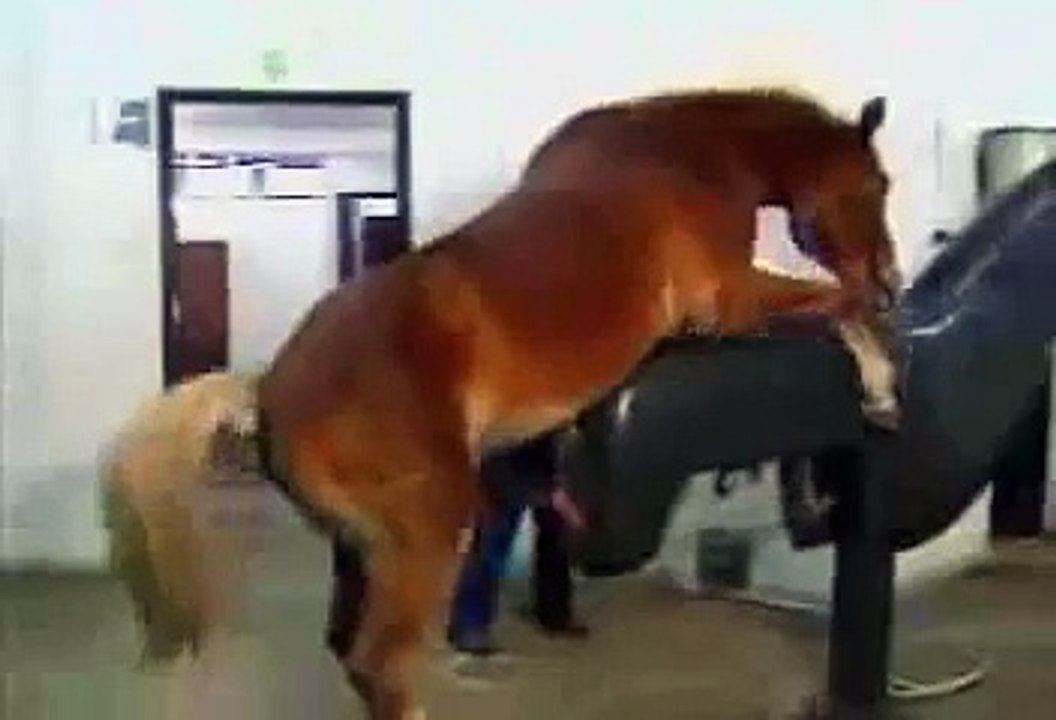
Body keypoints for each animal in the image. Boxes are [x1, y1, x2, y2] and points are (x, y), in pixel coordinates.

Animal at [102, 87, 900, 720]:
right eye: (876, 185)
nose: (893, 277)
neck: (691, 155)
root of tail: (268, 391)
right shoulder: (730, 301)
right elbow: (837, 303)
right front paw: (883, 379)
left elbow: (831, 306)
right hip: (427, 535)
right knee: (380, 663)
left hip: (360, 552)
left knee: (351, 655)